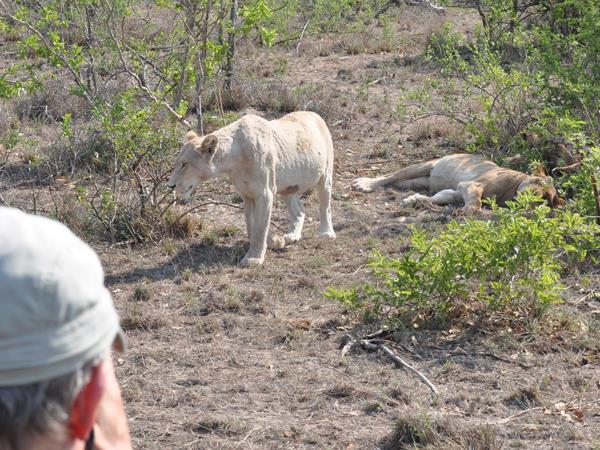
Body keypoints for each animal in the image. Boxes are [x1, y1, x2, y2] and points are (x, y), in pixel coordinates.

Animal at [169, 112, 336, 266]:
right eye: (177, 163)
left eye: (185, 165)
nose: (170, 185)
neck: (233, 161)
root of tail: (315, 114)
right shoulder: (247, 194)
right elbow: (251, 225)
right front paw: (275, 241)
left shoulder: (265, 193)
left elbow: (260, 228)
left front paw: (253, 259)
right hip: (287, 187)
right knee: (299, 210)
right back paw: (292, 236)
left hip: (325, 174)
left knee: (325, 206)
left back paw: (326, 233)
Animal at [352, 154, 564, 210]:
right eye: (537, 184)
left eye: (546, 198)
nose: (533, 197)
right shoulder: (471, 185)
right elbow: (475, 203)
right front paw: (468, 213)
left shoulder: (457, 192)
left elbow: (439, 198)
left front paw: (412, 200)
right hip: (423, 165)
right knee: (393, 176)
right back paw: (364, 184)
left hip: (422, 180)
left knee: (403, 183)